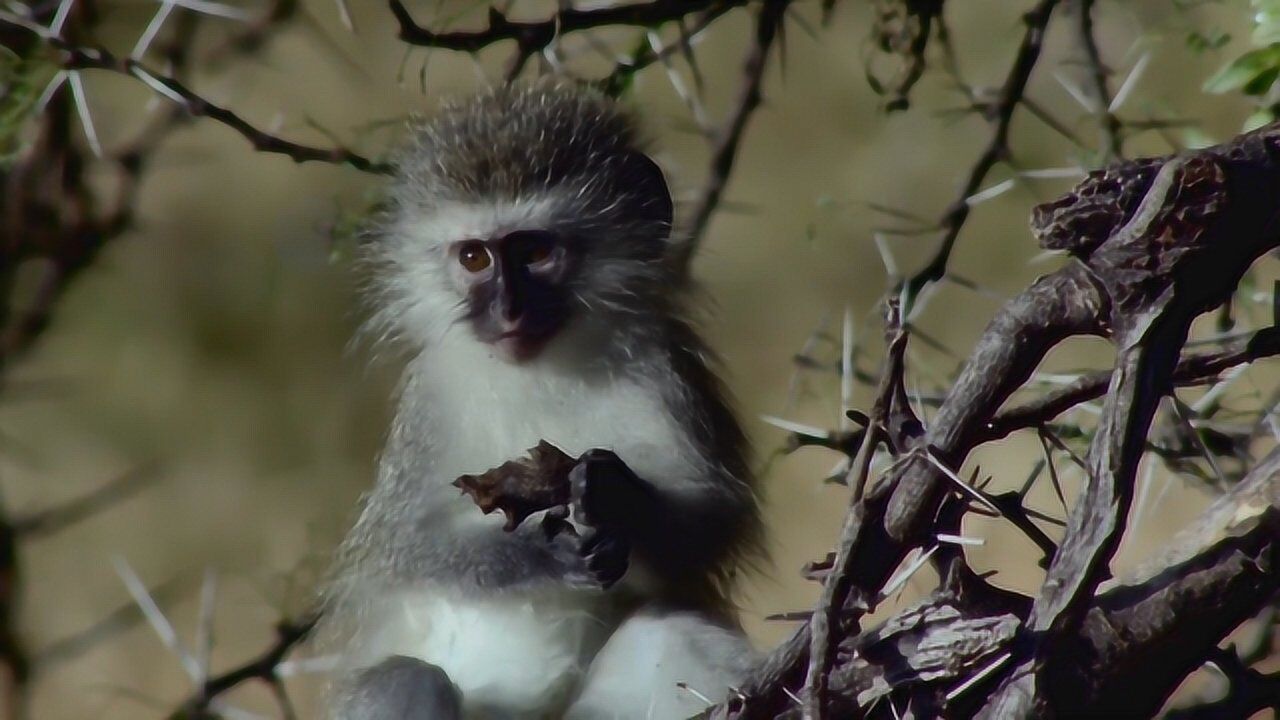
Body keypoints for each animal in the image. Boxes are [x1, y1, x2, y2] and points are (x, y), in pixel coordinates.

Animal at [322, 81, 757, 712]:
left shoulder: (667, 377)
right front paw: (537, 555)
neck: (541, 370)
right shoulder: (426, 405)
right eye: (474, 257)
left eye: (533, 252)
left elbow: (710, 528)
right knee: (404, 677)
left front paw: (617, 495)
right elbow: (403, 550)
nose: (509, 311)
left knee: (671, 632)